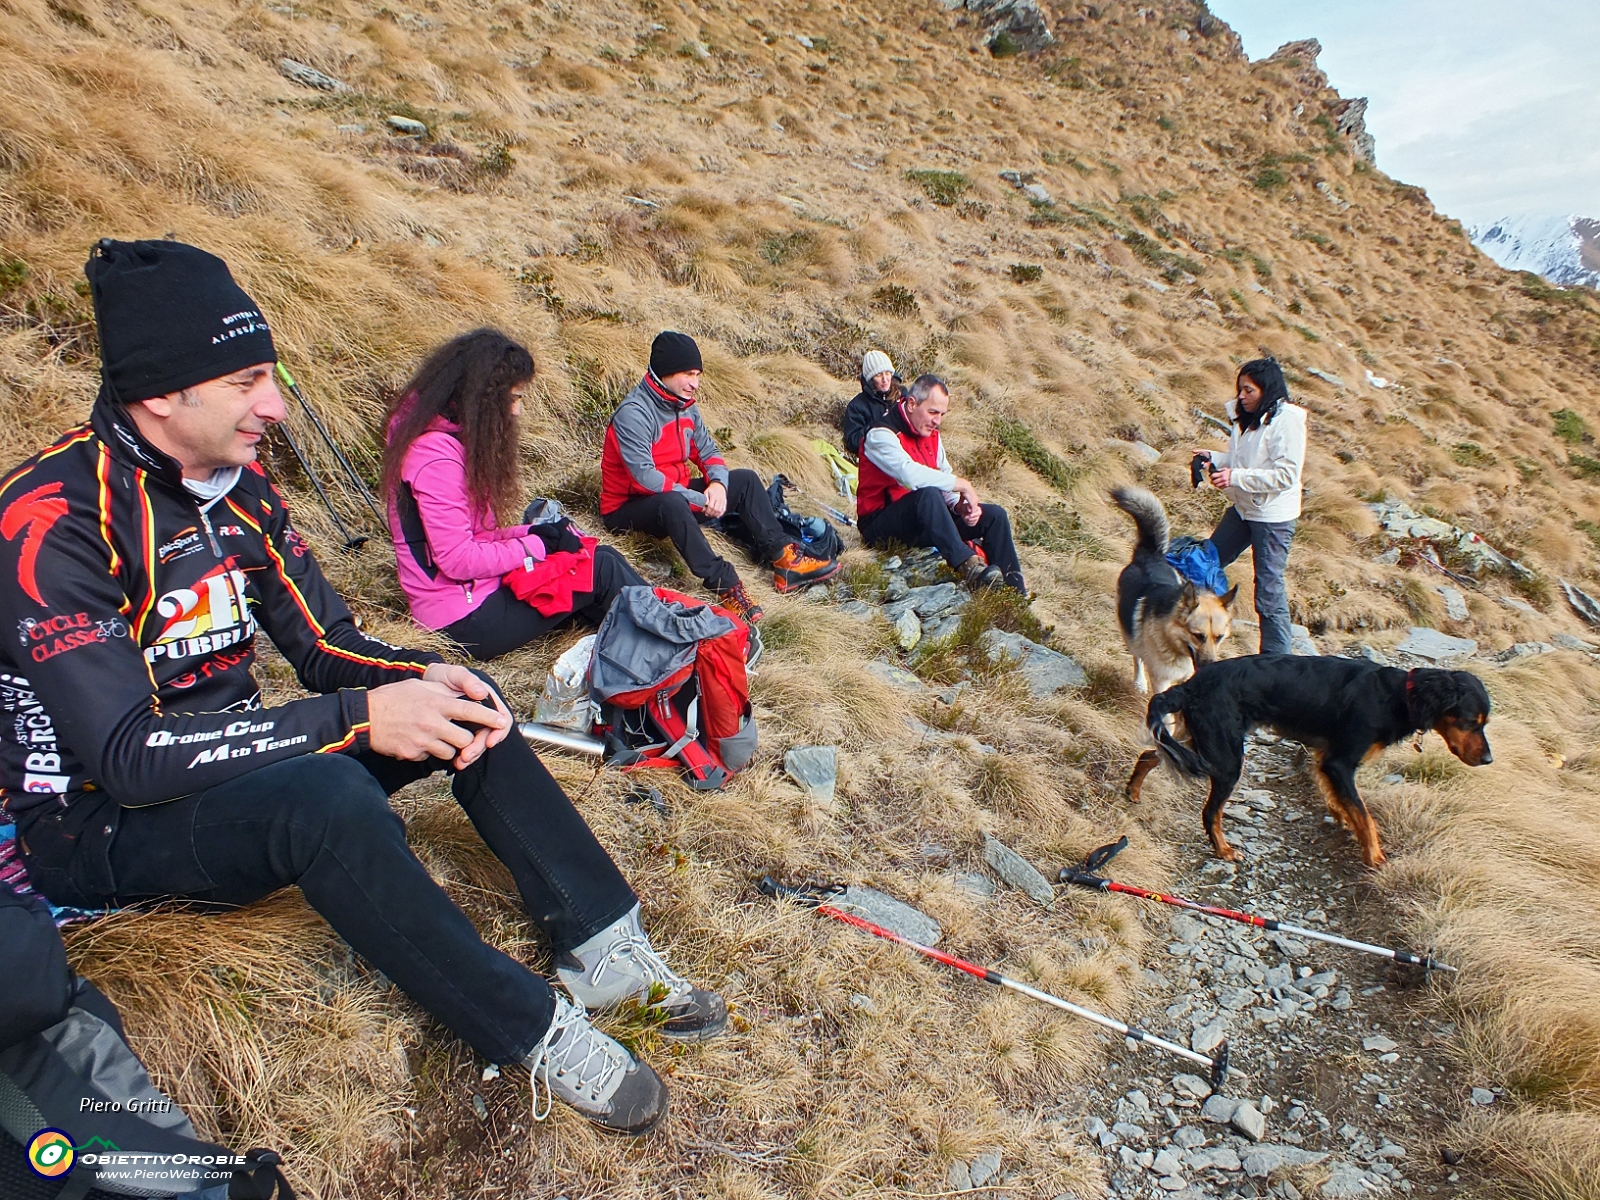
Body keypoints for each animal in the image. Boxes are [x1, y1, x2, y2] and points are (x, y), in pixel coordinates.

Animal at [1139, 652, 1484, 870]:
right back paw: (1223, 850)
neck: (1400, 696)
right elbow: (1365, 814)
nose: (1488, 758)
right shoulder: (1339, 762)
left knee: (1152, 753)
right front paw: (1374, 855)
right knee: (1210, 812)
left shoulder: (1325, 757)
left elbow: (1340, 798)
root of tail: (1190, 686)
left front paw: (1342, 817)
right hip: (1226, 759)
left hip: (1201, 744)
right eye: (1471, 721)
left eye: (1484, 722)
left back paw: (1133, 792)